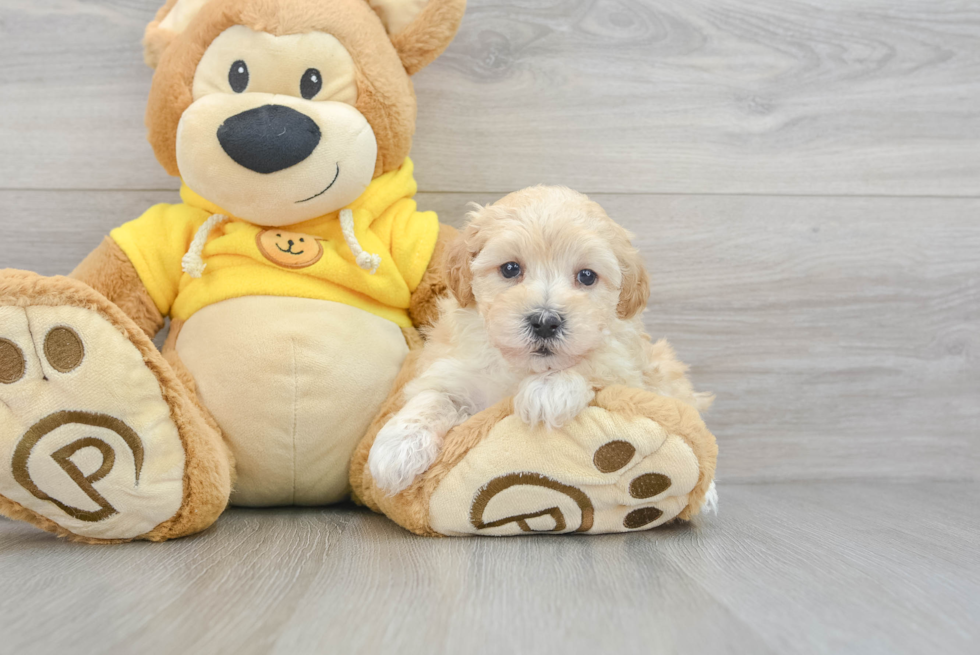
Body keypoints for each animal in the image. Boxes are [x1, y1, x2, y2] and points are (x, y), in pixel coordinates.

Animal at [368, 187, 712, 494]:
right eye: (510, 268)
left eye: (587, 276)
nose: (546, 322)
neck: (523, 367)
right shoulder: (453, 370)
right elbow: (432, 397)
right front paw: (396, 448)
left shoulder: (629, 370)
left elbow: (593, 365)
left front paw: (548, 389)